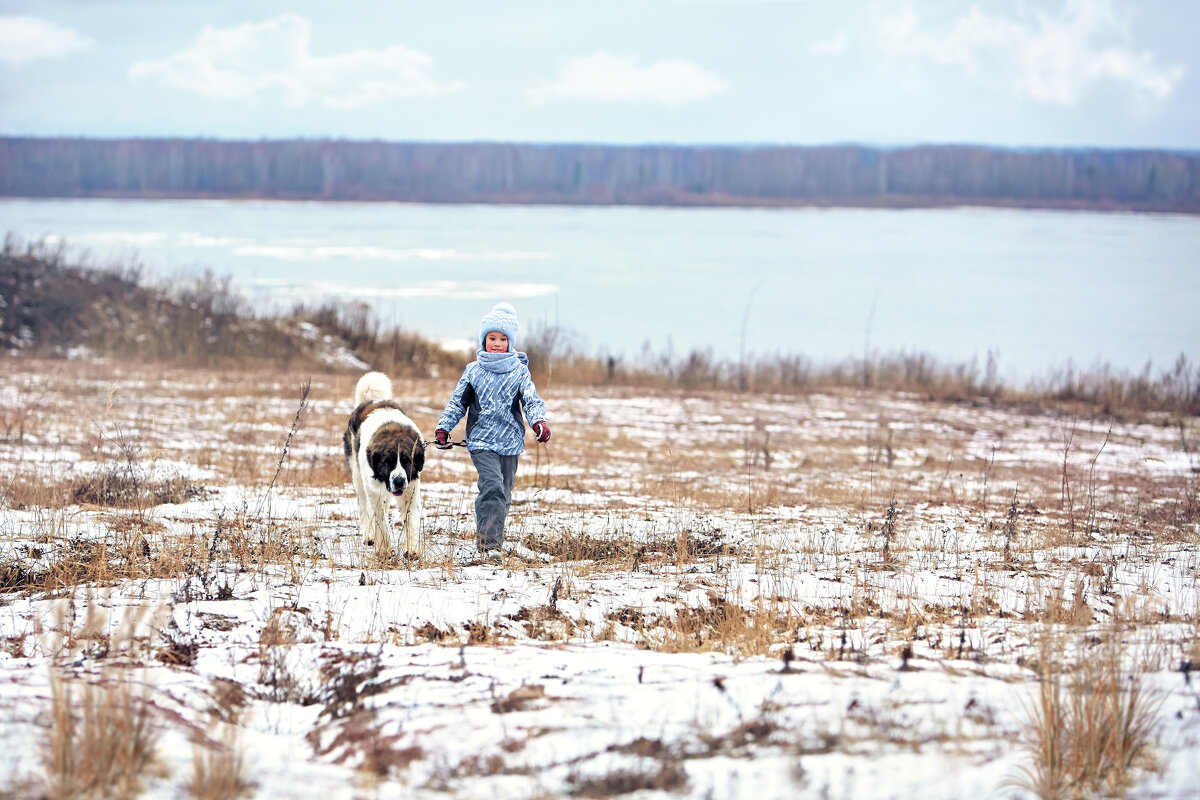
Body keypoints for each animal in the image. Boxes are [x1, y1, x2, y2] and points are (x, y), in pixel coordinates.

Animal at [343, 371, 427, 561]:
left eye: (407, 461)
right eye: (388, 461)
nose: (398, 481)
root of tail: (372, 401)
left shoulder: (410, 489)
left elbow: (411, 519)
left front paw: (412, 550)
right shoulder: (373, 489)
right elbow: (380, 519)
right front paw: (384, 550)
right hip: (358, 478)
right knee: (364, 507)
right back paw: (370, 536)